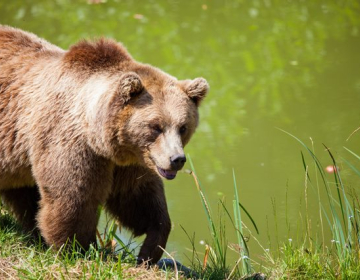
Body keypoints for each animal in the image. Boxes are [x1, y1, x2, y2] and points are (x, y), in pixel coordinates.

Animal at [0, 25, 208, 264]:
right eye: (156, 126)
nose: (177, 159)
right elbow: (73, 197)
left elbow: (138, 198)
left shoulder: (129, 161)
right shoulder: (71, 143)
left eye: (183, 127)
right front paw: (77, 249)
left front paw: (150, 249)